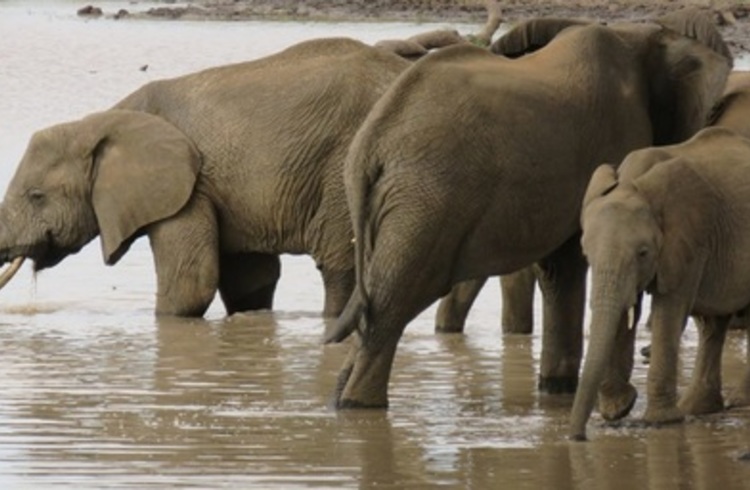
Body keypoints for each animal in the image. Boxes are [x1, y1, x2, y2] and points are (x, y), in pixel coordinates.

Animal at [328, 10, 736, 410]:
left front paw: (556, 389)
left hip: (394, 204)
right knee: (394, 301)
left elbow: (557, 271)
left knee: (376, 297)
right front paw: (576, 396)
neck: (639, 35)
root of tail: (373, 141)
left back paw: (343, 398)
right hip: (427, 203)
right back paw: (359, 406)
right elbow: (571, 265)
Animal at [568, 126, 750, 440]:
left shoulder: (691, 239)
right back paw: (698, 408)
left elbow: (669, 311)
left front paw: (660, 421)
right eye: (586, 253)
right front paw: (618, 408)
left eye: (643, 252)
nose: (575, 437)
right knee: (711, 324)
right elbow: (627, 310)